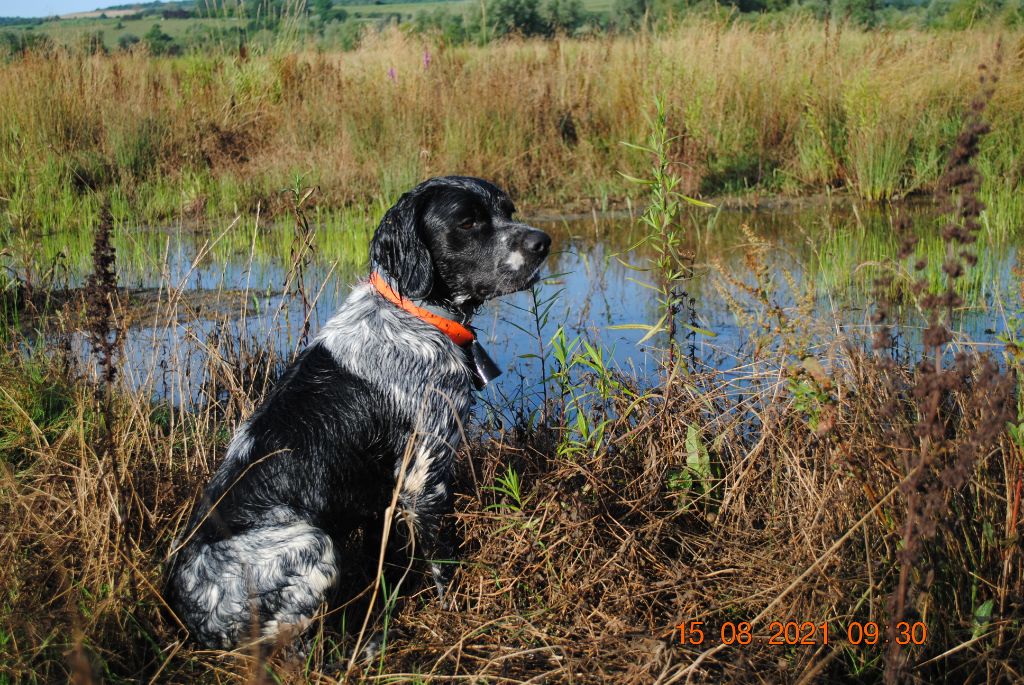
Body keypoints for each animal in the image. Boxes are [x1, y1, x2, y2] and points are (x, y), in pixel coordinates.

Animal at [163, 175, 552, 647]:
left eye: (508, 211)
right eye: (468, 221)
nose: (543, 242)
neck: (414, 313)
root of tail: (181, 612)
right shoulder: (424, 474)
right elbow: (443, 560)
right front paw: (455, 612)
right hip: (313, 544)